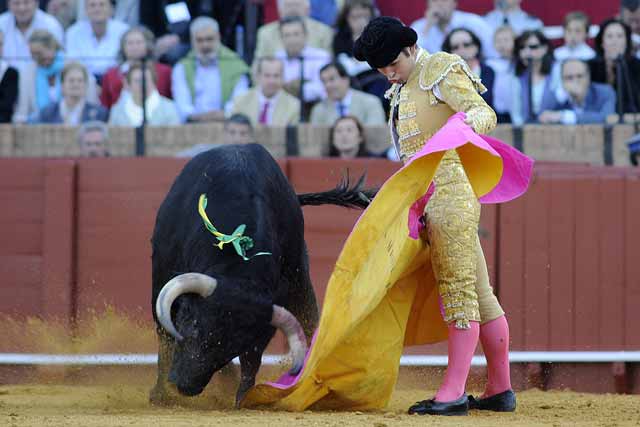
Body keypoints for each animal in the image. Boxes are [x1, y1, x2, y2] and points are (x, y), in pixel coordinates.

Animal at [149, 145, 372, 406]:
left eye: (231, 347)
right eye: (192, 324)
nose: (183, 386)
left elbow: (251, 361)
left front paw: (242, 399)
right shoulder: (162, 278)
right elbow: (165, 335)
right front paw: (161, 395)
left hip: (300, 277)